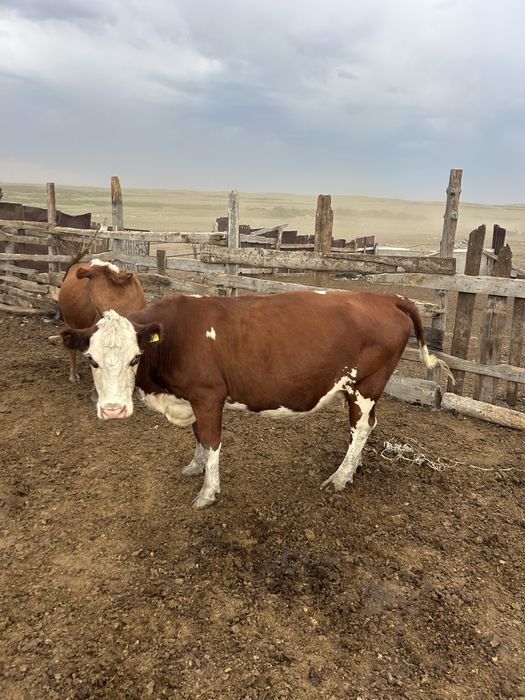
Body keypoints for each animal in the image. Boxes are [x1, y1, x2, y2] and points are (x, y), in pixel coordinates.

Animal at [59, 290, 453, 508]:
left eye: (135, 358)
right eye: (91, 359)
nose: (113, 410)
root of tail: (386, 298)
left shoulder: (208, 395)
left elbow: (212, 441)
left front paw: (208, 492)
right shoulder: (192, 399)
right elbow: (198, 438)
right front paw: (195, 466)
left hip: (366, 385)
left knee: (359, 430)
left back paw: (341, 477)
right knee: (367, 426)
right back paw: (352, 470)